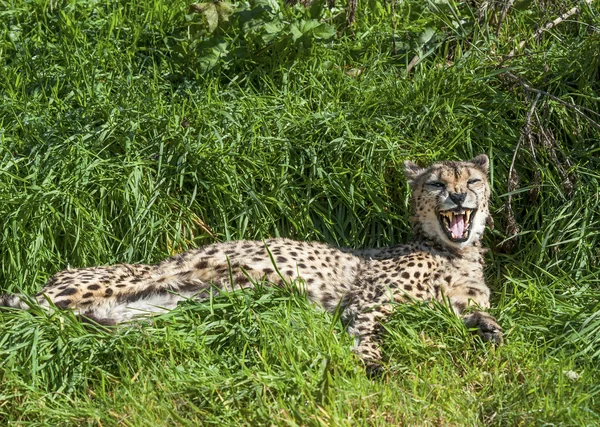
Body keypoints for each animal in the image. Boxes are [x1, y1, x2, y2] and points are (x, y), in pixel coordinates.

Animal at [1, 155, 502, 370]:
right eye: (437, 183)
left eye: (473, 180)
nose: (459, 197)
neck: (456, 251)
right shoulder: (368, 299)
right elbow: (367, 334)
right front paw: (374, 365)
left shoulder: (449, 303)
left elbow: (476, 314)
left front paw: (490, 330)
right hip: (94, 287)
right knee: (29, 314)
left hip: (135, 317)